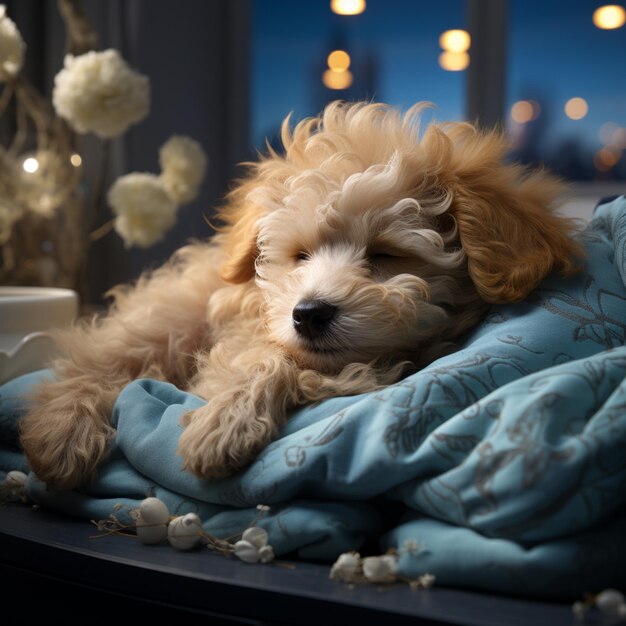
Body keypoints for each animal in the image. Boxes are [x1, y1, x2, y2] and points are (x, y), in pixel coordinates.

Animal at [20, 101, 584, 488]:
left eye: (385, 254)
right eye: (300, 255)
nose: (308, 313)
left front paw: (227, 420)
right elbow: (266, 356)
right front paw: (224, 422)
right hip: (170, 316)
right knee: (94, 362)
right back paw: (61, 432)